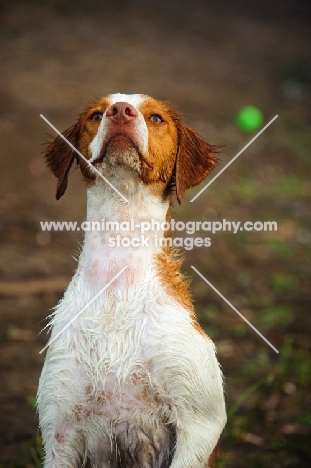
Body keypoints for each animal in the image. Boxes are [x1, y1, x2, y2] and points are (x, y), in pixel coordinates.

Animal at [37, 93, 227, 466]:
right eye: (97, 115)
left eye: (155, 118)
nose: (120, 111)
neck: (117, 282)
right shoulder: (59, 427)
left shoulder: (200, 421)